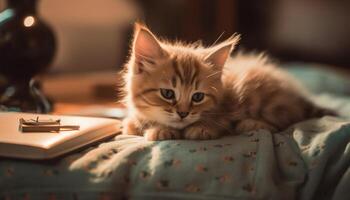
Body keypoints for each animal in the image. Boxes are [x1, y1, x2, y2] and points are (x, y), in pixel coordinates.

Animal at [119, 23, 334, 141]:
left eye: (198, 97)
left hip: (264, 97)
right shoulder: (130, 122)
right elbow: (131, 125)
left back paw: (250, 124)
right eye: (167, 93)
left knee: (283, 121)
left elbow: (218, 122)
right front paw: (159, 128)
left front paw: (201, 127)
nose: (183, 113)